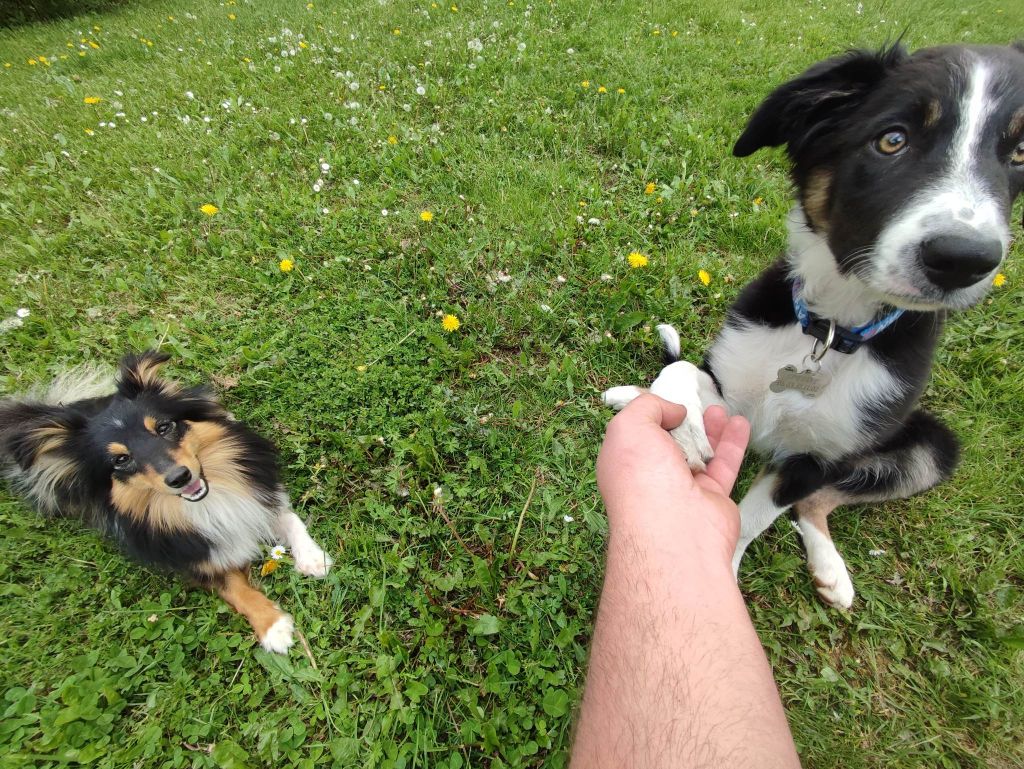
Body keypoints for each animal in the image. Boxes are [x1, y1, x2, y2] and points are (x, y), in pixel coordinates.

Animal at [602, 41, 1019, 610]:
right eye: (892, 140)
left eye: (1019, 155)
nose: (965, 259)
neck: (826, 331)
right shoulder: (732, 378)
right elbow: (680, 372)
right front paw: (683, 435)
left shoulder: (817, 458)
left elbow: (753, 516)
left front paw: (722, 571)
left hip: (928, 449)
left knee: (817, 504)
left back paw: (831, 569)